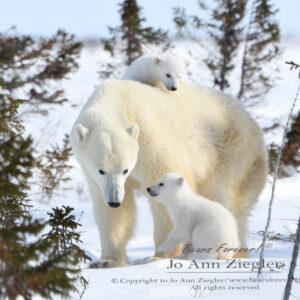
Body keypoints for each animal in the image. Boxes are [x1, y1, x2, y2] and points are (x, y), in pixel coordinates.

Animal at [71, 79, 268, 268]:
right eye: (101, 170)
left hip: (232, 156)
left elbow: (166, 197)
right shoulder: (95, 178)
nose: (114, 201)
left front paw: (157, 257)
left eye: (125, 169)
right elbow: (114, 213)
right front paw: (105, 261)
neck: (118, 101)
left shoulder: (150, 142)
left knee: (225, 199)